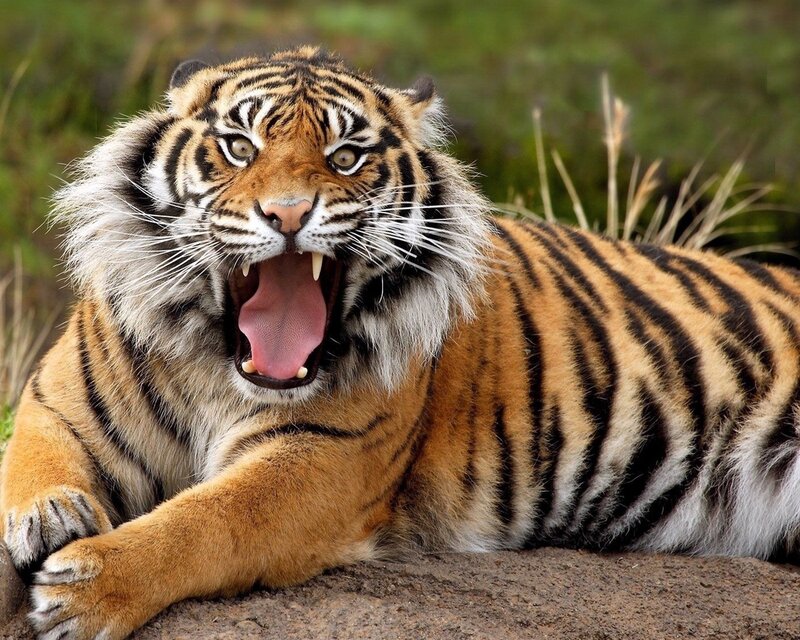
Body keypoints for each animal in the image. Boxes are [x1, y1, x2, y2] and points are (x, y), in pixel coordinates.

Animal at [2, 45, 800, 639]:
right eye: (238, 147)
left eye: (346, 157)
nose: (288, 213)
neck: (217, 365)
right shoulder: (58, 402)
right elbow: (31, 459)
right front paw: (49, 517)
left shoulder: (322, 458)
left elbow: (206, 520)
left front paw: (87, 589)